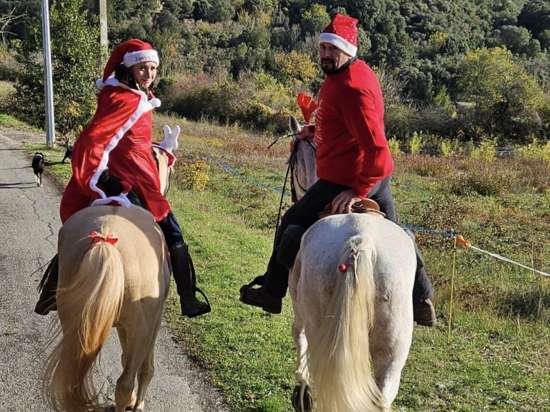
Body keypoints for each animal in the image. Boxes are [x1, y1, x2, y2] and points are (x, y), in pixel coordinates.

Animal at [44, 131, 181, 412]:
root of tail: (106, 241)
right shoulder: (151, 322)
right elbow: (145, 367)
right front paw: (138, 403)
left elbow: (125, 357)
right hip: (141, 326)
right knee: (124, 383)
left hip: (73, 319)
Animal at [286, 117, 416, 410]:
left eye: (292, 158)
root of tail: (361, 241)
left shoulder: (299, 309)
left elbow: (298, 339)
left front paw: (301, 388)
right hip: (393, 352)